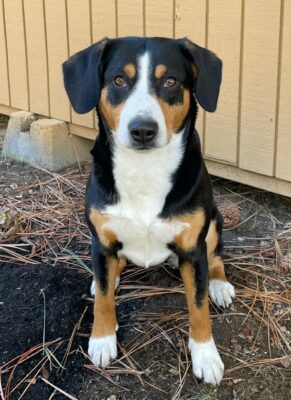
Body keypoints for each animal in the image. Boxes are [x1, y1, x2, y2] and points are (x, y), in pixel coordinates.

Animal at [62, 36, 236, 386]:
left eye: (170, 81)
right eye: (118, 80)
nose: (143, 129)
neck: (144, 172)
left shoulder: (193, 247)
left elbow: (198, 307)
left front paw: (205, 355)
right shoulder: (101, 239)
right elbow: (103, 300)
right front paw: (102, 339)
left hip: (214, 221)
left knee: (216, 256)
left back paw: (219, 284)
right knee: (109, 272)